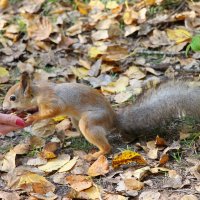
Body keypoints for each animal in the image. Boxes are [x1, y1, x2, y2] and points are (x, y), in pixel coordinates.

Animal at [2, 72, 200, 159]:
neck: (38, 93)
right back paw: (72, 133)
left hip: (89, 122)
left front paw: (32, 118)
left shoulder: (52, 102)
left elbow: (52, 111)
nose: (3, 108)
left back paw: (96, 154)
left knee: (107, 147)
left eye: (13, 97)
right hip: (76, 119)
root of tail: (114, 119)